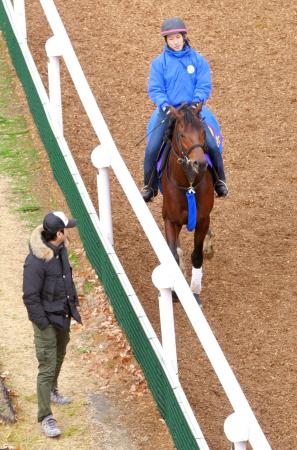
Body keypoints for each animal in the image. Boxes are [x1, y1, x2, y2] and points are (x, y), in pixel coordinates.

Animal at [160, 103, 213, 306]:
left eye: (203, 133)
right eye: (182, 135)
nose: (200, 163)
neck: (188, 185)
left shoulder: (203, 219)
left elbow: (197, 255)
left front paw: (195, 293)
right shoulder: (169, 219)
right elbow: (174, 255)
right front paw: (176, 292)